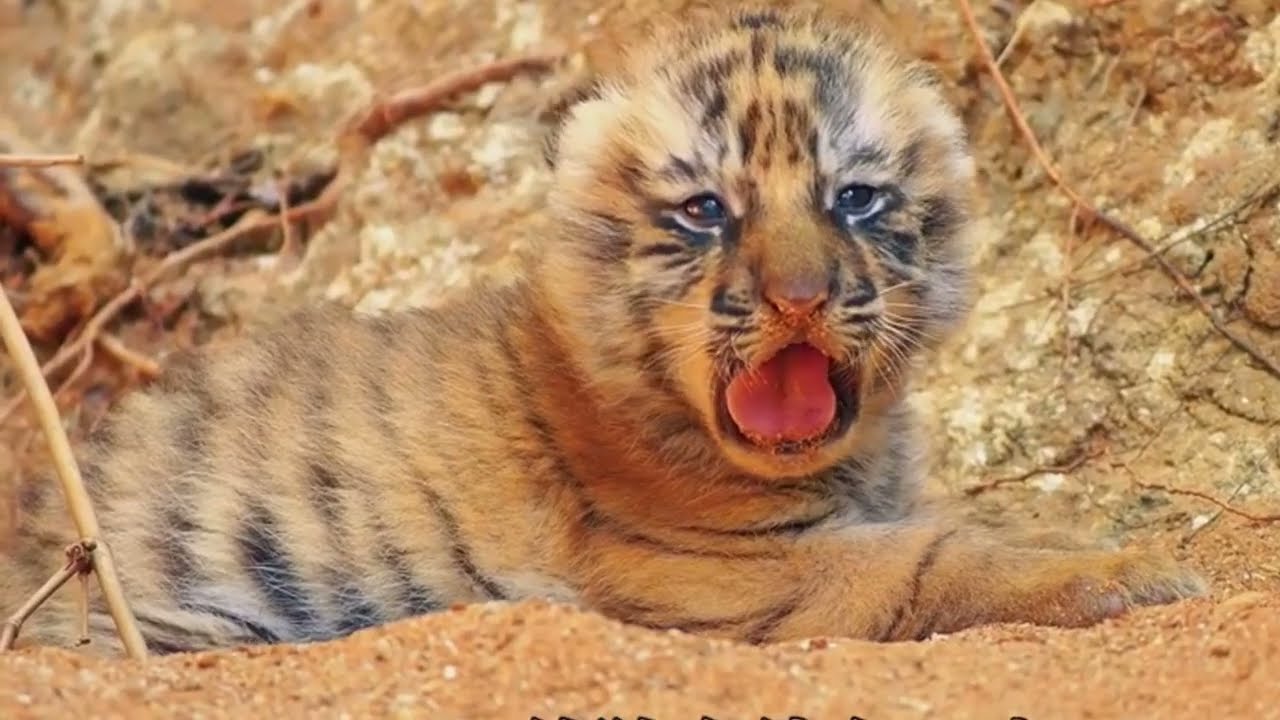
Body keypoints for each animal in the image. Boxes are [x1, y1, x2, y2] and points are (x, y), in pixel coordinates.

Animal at [0, 3, 1207, 657]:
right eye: (707, 210)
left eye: (854, 199)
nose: (801, 297)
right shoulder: (709, 572)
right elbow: (935, 558)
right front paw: (1135, 570)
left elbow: (967, 521)